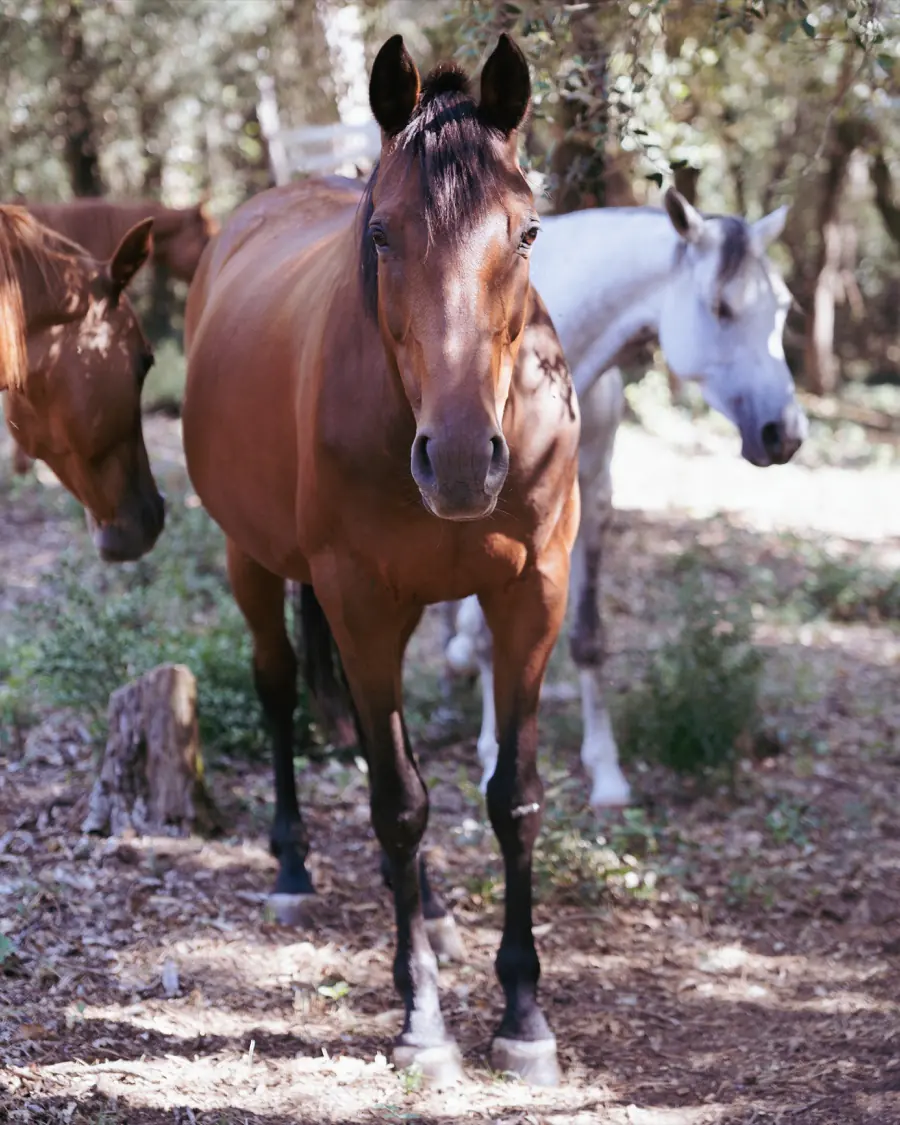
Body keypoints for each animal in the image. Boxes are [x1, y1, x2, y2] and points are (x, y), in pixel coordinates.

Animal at [183, 35, 579, 1085]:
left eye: (528, 233)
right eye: (384, 236)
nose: (461, 458)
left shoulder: (532, 596)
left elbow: (513, 798)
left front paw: (524, 1014)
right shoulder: (360, 602)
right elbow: (398, 804)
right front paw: (425, 1023)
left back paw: (434, 911)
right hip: (254, 560)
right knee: (280, 686)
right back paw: (292, 864)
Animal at [442, 190, 808, 808]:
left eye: (782, 308)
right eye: (721, 307)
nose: (785, 433)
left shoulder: (593, 493)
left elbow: (588, 635)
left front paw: (606, 770)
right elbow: (494, 631)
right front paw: (494, 753)